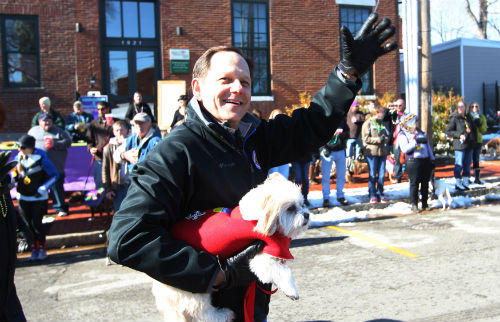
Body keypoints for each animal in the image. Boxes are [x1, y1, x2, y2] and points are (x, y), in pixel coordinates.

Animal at [150, 174, 310, 322]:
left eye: (302, 204)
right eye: (291, 209)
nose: (307, 214)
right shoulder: (261, 258)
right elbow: (282, 272)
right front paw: (291, 290)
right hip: (195, 290)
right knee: (202, 312)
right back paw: (222, 315)